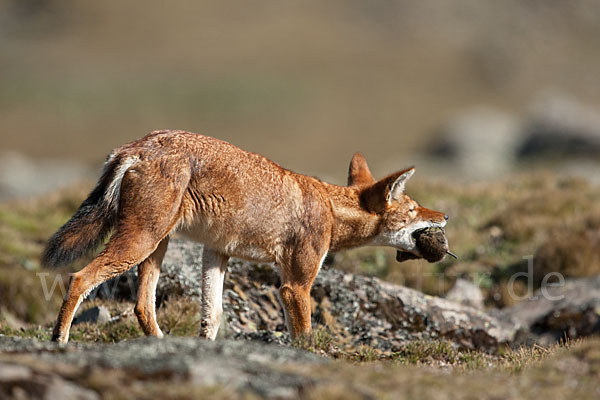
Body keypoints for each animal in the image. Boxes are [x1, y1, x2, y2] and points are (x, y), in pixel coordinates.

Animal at [43, 131, 450, 344]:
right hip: (141, 242)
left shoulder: (216, 253)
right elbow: (304, 337)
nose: (445, 216)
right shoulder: (295, 286)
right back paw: (59, 343)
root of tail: (136, 146)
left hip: (156, 246)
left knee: (143, 306)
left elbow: (212, 317)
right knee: (79, 278)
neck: (331, 210)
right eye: (414, 208)